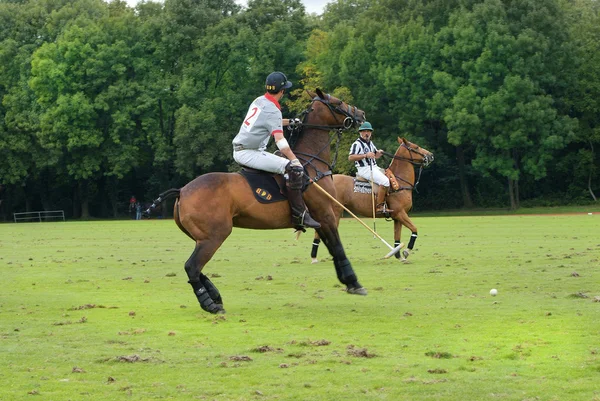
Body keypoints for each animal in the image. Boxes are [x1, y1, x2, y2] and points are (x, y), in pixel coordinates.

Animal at [148, 89, 368, 314]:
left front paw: (348, 282)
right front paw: (354, 282)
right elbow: (338, 247)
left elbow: (332, 248)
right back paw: (211, 304)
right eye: (338, 103)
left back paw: (215, 296)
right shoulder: (325, 214)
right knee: (192, 266)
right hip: (215, 235)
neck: (312, 163)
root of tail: (182, 191)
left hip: (200, 236)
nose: (360, 114)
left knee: (195, 267)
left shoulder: (321, 219)